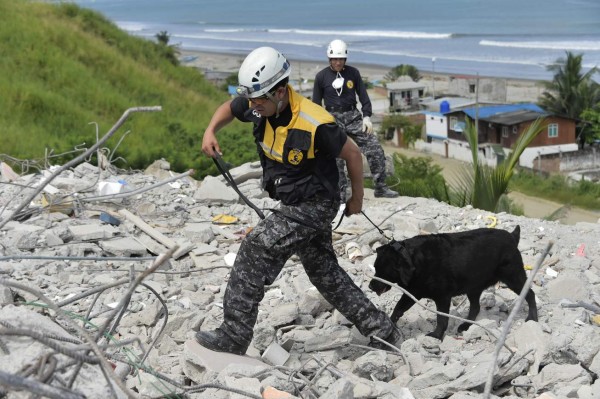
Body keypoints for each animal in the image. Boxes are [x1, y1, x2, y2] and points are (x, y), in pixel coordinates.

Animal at [368, 227, 536, 342]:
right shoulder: (413, 293)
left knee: (530, 294)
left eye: (381, 270)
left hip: (513, 277)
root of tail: (512, 236)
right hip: (473, 287)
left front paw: (436, 335)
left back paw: (532, 318)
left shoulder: (442, 297)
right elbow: (398, 308)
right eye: (375, 268)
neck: (414, 260)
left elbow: (442, 319)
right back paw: (465, 326)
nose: (370, 286)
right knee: (475, 307)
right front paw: (389, 325)